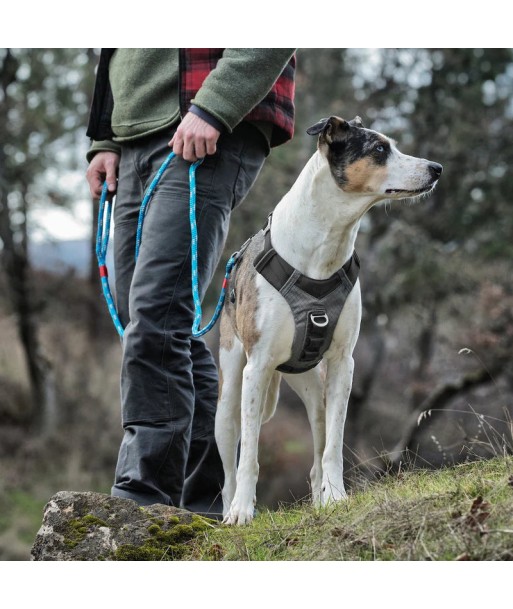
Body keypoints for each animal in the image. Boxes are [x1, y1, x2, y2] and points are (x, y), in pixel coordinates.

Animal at [214, 114, 442, 524]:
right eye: (379, 149)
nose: (436, 168)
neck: (323, 248)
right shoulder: (257, 368)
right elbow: (250, 454)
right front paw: (243, 509)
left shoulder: (342, 364)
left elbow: (333, 446)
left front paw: (336, 497)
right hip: (228, 396)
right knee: (228, 464)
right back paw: (230, 508)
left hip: (312, 387)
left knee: (318, 446)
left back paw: (320, 497)